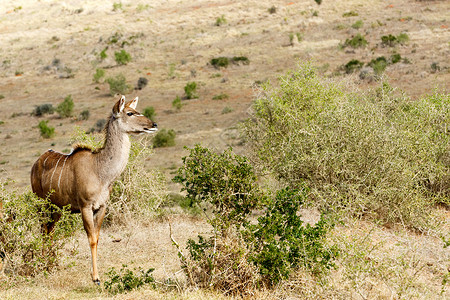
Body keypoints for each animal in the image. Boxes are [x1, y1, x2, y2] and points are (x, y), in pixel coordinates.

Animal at [29, 95, 156, 284]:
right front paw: (95, 278)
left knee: (49, 231)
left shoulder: (101, 207)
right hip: (42, 205)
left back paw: (51, 264)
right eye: (130, 113)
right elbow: (91, 239)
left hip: (56, 209)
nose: (154, 124)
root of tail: (36, 163)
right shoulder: (85, 206)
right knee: (43, 229)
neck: (100, 170)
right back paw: (43, 263)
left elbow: (97, 237)